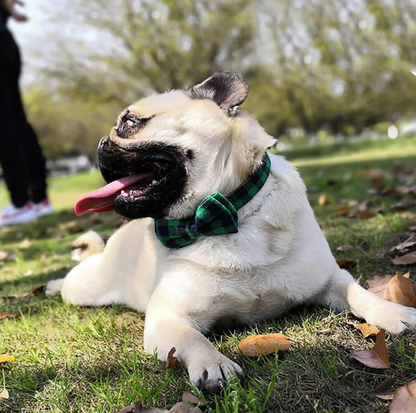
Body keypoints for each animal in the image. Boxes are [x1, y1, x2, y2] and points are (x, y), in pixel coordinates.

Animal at [45, 71, 416, 392]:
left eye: (130, 123)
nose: (100, 143)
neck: (228, 213)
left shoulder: (329, 278)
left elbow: (359, 293)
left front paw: (395, 313)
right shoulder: (167, 317)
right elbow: (192, 338)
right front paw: (214, 364)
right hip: (88, 287)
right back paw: (53, 284)